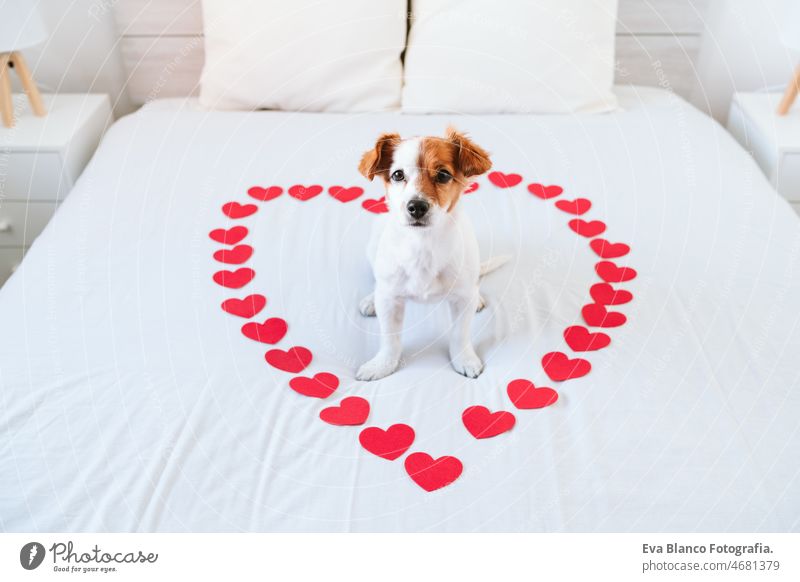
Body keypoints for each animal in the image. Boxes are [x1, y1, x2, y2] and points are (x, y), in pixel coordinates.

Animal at [354, 128, 506, 384]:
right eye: (397, 175)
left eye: (443, 175)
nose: (416, 206)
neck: (423, 245)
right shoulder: (390, 301)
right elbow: (390, 339)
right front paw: (383, 364)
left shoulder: (462, 300)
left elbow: (459, 335)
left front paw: (464, 359)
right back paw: (370, 299)